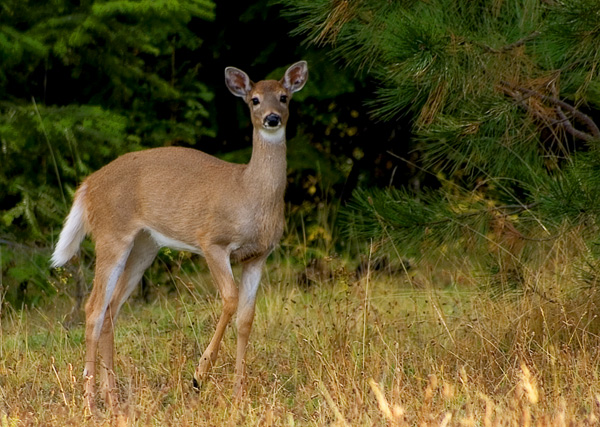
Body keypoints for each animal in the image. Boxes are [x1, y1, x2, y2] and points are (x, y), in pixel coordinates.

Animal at [51, 60, 310, 412]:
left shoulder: (258, 256)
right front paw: (199, 376)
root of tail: (87, 185)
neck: (249, 193)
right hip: (111, 234)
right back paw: (91, 401)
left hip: (144, 246)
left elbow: (246, 318)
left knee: (111, 309)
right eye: (254, 99)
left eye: (284, 97)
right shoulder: (212, 240)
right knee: (93, 308)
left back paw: (112, 398)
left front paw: (239, 395)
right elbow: (230, 299)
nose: (272, 118)